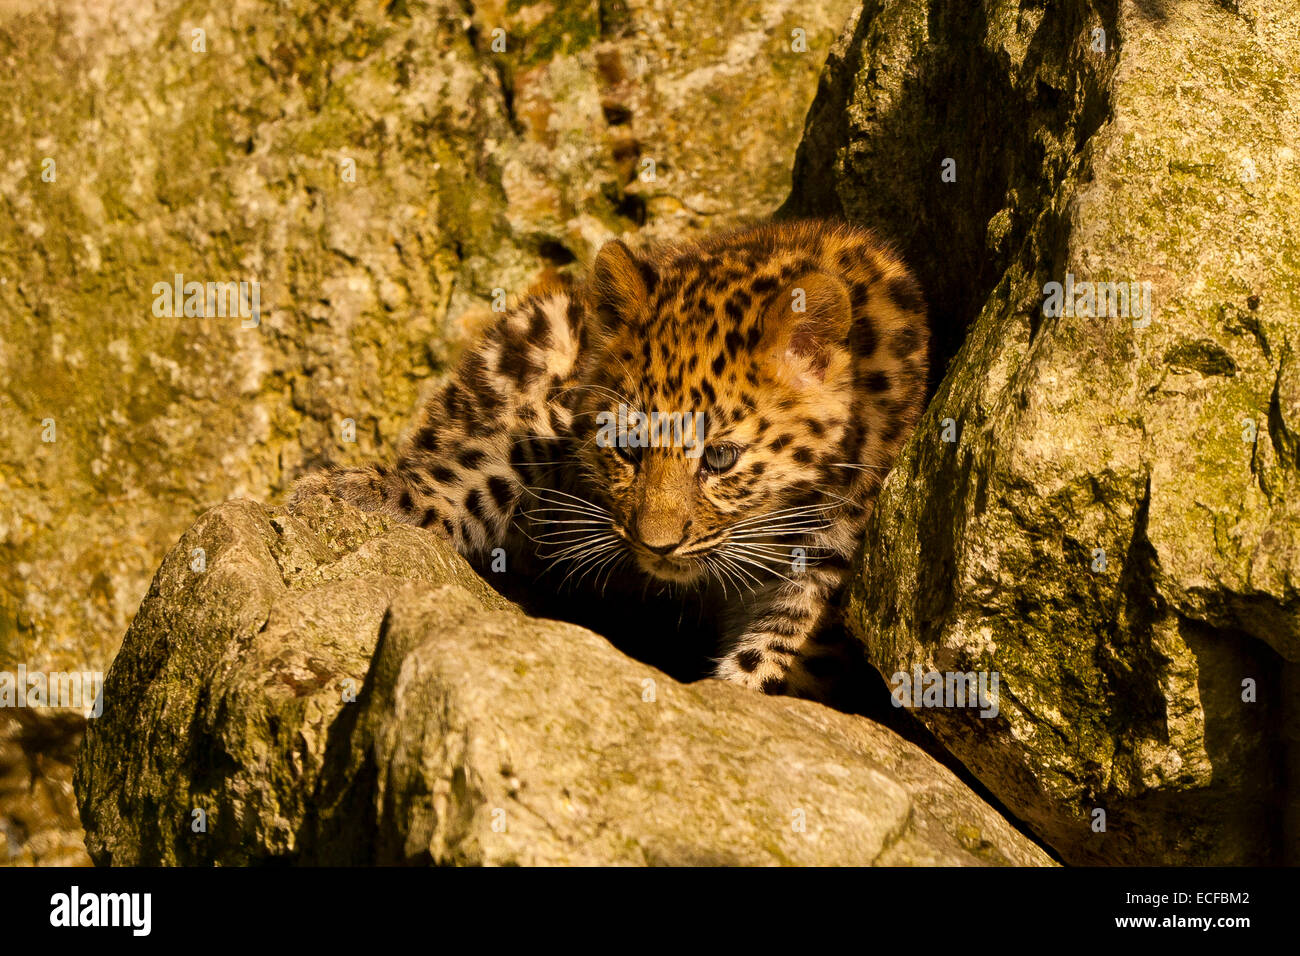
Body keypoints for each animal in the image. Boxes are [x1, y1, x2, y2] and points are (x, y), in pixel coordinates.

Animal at [289, 219, 929, 700]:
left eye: (721, 458)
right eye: (627, 447)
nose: (656, 546)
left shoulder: (827, 561)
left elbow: (776, 657)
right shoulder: (556, 412)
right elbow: (484, 465)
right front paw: (366, 497)